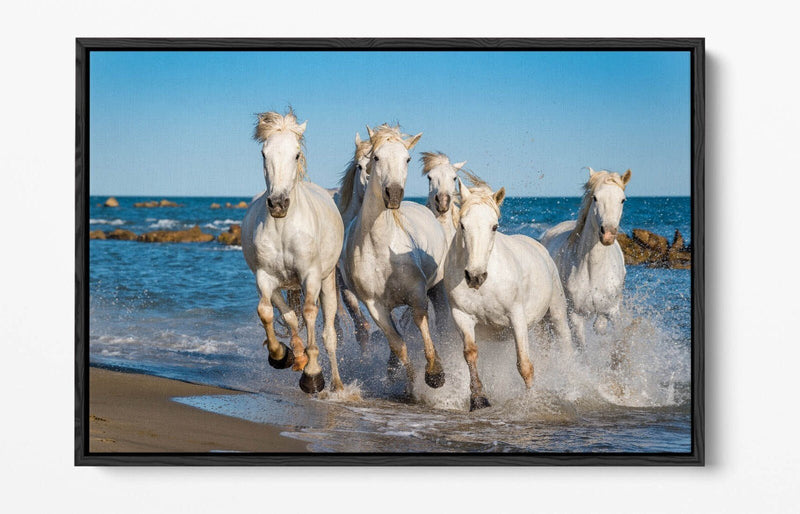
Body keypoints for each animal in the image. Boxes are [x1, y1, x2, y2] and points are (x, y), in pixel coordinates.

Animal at [241, 110, 345, 394]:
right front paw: (281, 355)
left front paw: (313, 375)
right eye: (264, 153)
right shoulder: (264, 277)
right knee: (287, 315)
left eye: (296, 154)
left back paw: (337, 385)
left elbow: (310, 313)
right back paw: (296, 356)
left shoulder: (311, 276)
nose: (278, 203)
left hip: (327, 281)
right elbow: (268, 313)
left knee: (329, 334)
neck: (283, 227)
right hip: (280, 285)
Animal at [342, 124, 449, 392]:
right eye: (376, 158)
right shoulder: (375, 306)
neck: (381, 248)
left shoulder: (417, 292)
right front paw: (411, 385)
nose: (393, 194)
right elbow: (398, 344)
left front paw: (435, 373)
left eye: (407, 159)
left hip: (437, 288)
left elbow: (420, 321)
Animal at [444, 178, 573, 411]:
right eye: (463, 225)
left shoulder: (516, 316)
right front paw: (478, 400)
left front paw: (532, 401)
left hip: (557, 313)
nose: (475, 276)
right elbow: (470, 354)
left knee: (565, 344)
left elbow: (524, 364)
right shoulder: (462, 316)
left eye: (494, 226)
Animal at [540, 168, 632, 350]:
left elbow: (613, 334)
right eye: (595, 197)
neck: (593, 270)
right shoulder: (575, 316)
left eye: (622, 199)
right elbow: (582, 348)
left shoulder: (613, 310)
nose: (608, 234)